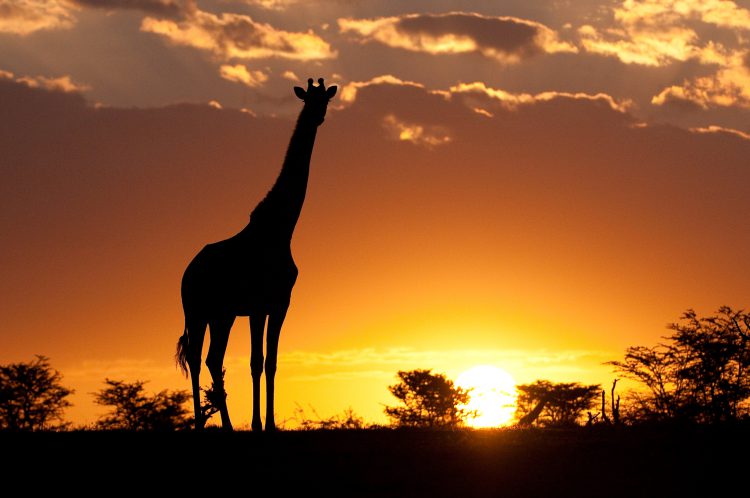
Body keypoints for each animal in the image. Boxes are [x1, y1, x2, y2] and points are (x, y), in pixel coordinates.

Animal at [176, 79, 338, 432]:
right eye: (308, 99)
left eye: (326, 100)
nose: (317, 116)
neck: (280, 229)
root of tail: (187, 272)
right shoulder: (258, 305)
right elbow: (256, 361)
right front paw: (256, 424)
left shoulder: (279, 303)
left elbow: (272, 361)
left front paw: (270, 423)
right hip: (195, 310)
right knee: (195, 358)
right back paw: (200, 424)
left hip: (220, 315)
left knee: (212, 358)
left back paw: (224, 425)